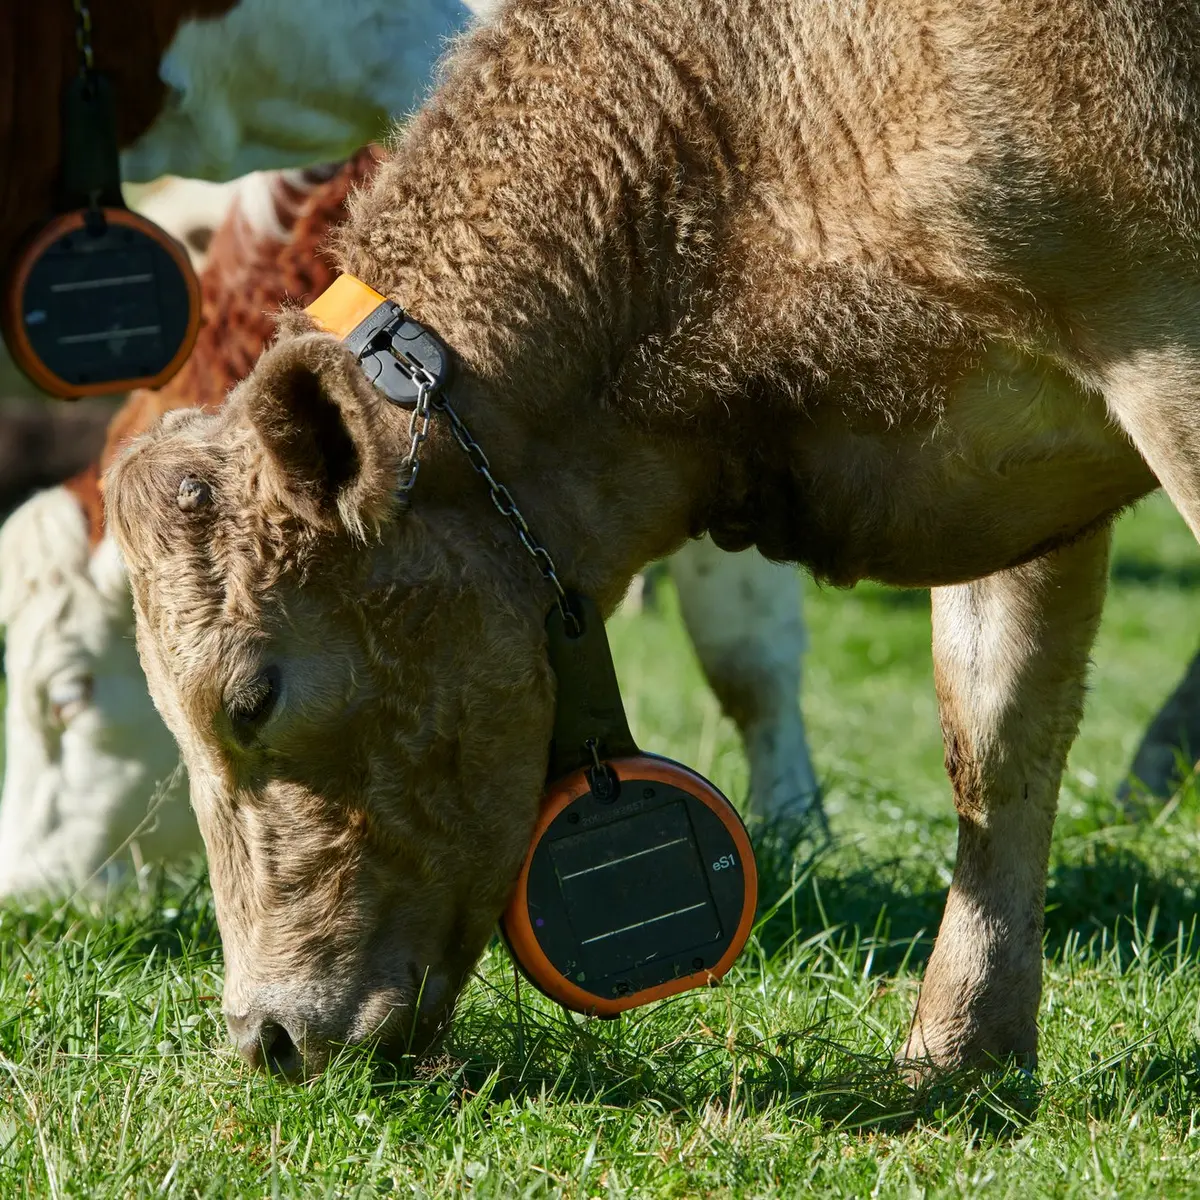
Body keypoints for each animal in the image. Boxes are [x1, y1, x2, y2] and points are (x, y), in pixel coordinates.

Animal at [108, 0, 1184, 1080]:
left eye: (252, 700)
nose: (264, 1036)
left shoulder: (1156, 344)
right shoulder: (1014, 457)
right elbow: (995, 732)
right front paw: (963, 1049)